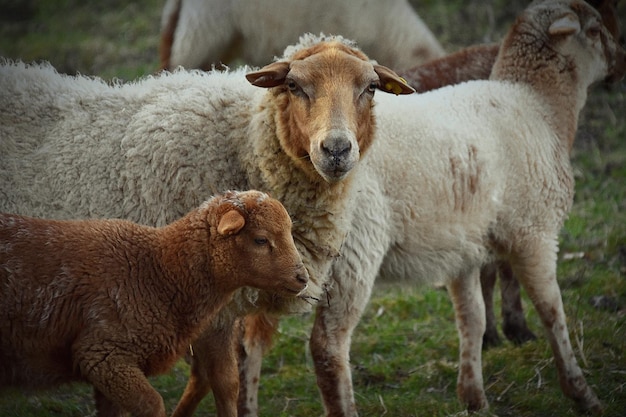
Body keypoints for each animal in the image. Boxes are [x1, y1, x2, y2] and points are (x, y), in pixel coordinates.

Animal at [0, 33, 414, 416]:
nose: (337, 150)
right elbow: (223, 380)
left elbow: (208, 378)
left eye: (370, 87)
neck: (242, 142)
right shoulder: (202, 298)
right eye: (294, 86)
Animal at [394, 0, 620, 348]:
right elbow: (503, 274)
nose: (623, 60)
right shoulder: (519, 214)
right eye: (595, 30)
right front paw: (509, 330)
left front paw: (496, 332)